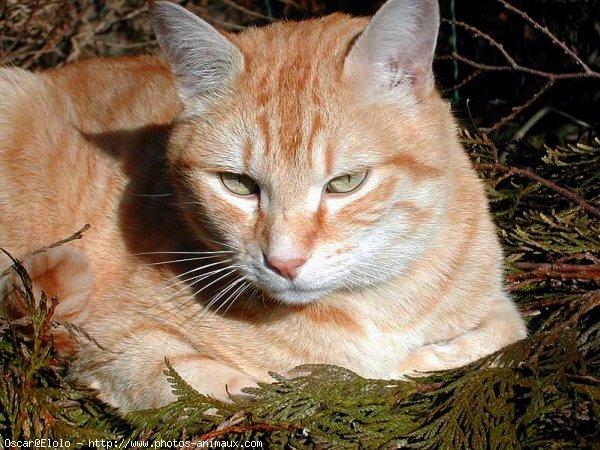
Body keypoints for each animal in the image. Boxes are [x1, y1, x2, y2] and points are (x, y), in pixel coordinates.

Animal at [0, 0, 524, 412]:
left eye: (345, 183)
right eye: (238, 184)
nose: (284, 262)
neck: (370, 304)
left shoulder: (498, 307)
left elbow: (495, 336)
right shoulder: (120, 346)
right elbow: (224, 387)